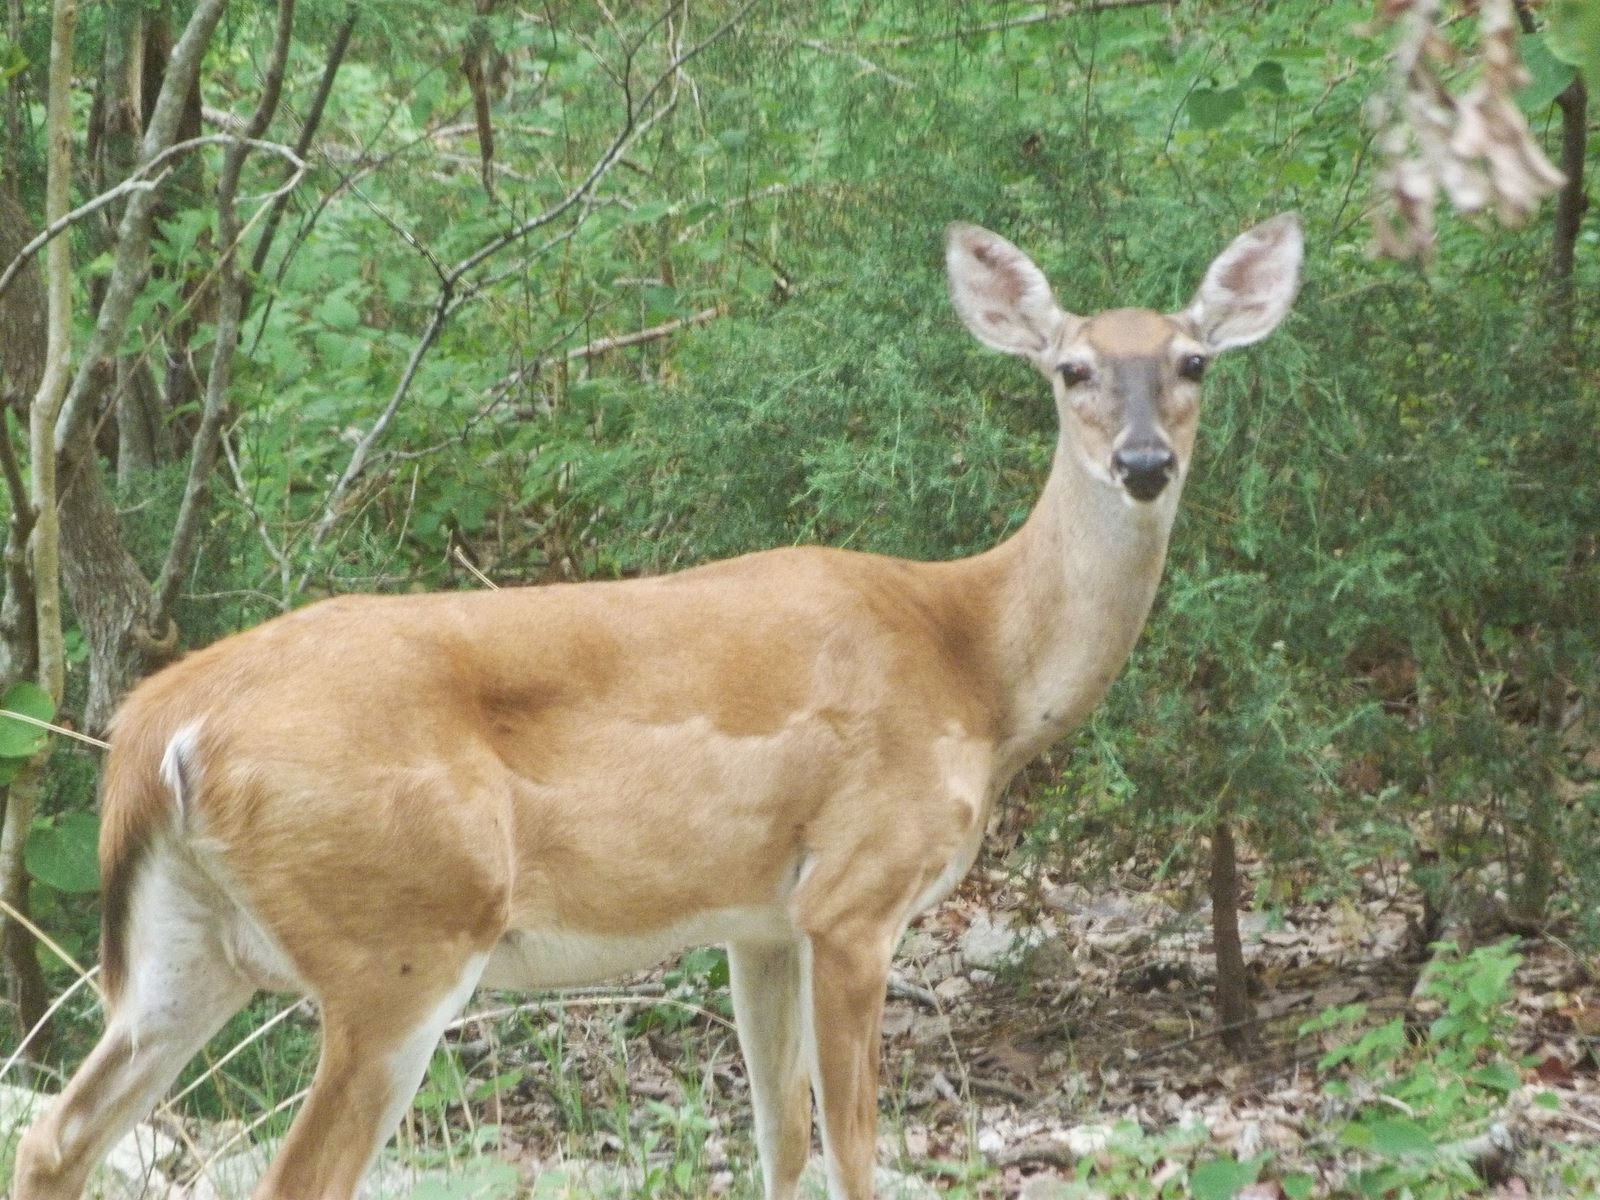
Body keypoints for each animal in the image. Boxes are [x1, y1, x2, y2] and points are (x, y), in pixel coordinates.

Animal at [12, 213, 1301, 1200]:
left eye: (1193, 362)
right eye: (1071, 369)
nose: (1143, 463)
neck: (975, 668)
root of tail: (159, 724)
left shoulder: (761, 920)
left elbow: (781, 1149)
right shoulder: (855, 892)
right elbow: (852, 1158)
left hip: (181, 952)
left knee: (54, 1139)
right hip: (401, 938)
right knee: (288, 1173)